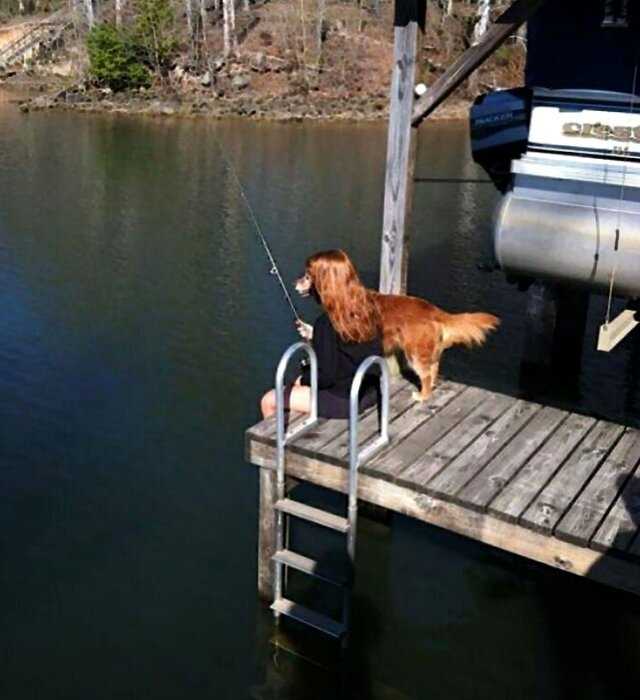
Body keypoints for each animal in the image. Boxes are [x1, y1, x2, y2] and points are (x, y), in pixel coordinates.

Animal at [296, 249, 500, 402]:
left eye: (307, 276)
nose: (294, 283)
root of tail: (433, 310)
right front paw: (305, 328)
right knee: (434, 368)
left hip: (414, 353)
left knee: (426, 374)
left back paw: (422, 396)